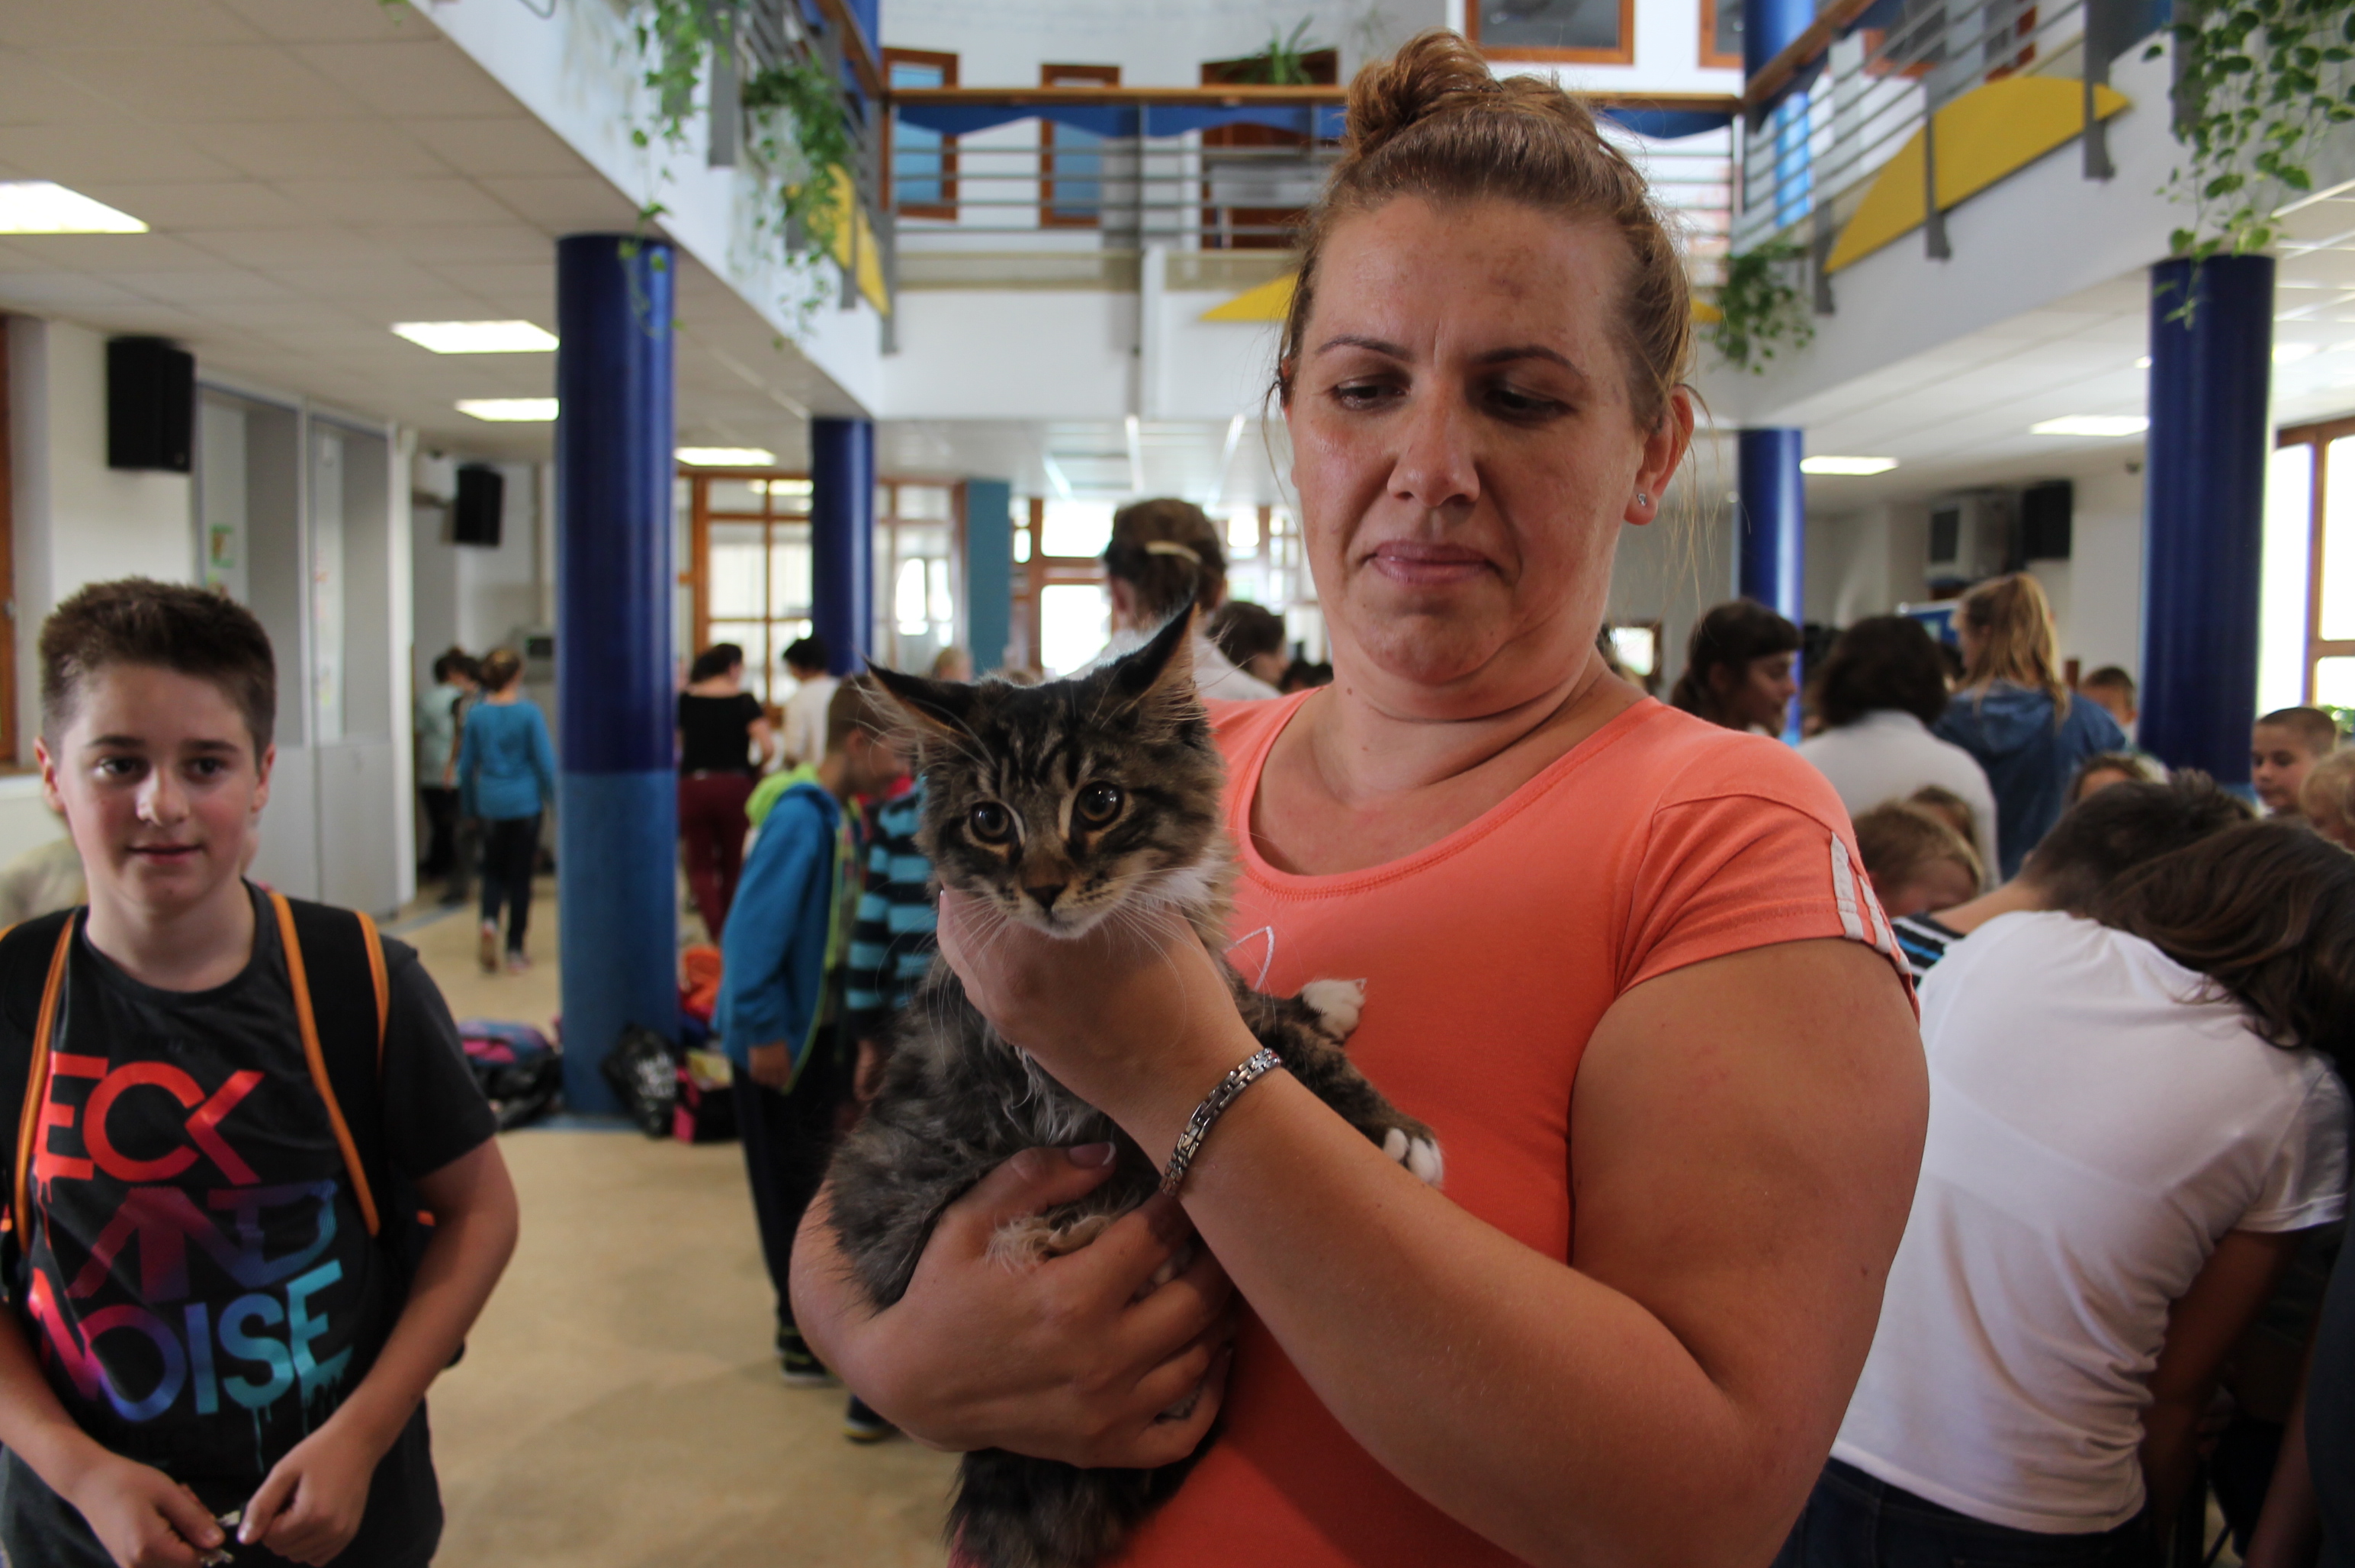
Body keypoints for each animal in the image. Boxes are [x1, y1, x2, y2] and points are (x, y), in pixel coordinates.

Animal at [824, 608, 1443, 1568]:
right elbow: (1272, 1043)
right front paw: (1390, 1129)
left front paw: (1323, 999)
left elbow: (1251, 1001)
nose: (1043, 889)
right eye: (989, 820)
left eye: (1100, 803)